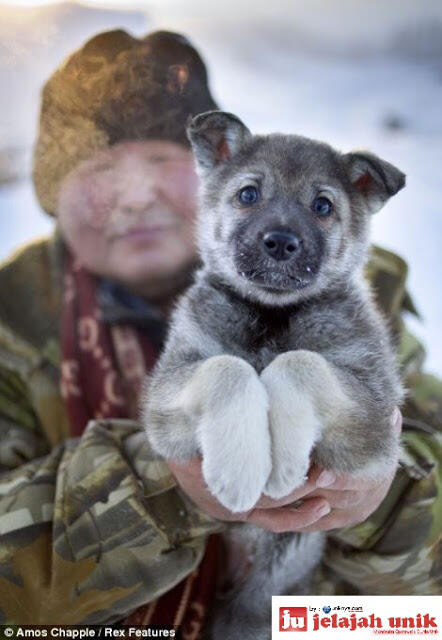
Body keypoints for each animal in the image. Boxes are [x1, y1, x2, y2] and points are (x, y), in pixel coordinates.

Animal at [142, 111, 404, 640]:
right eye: (248, 194)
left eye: (323, 205)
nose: (281, 242)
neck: (272, 315)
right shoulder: (168, 393)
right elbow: (227, 367)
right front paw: (240, 470)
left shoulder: (375, 417)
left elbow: (301, 362)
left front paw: (282, 460)